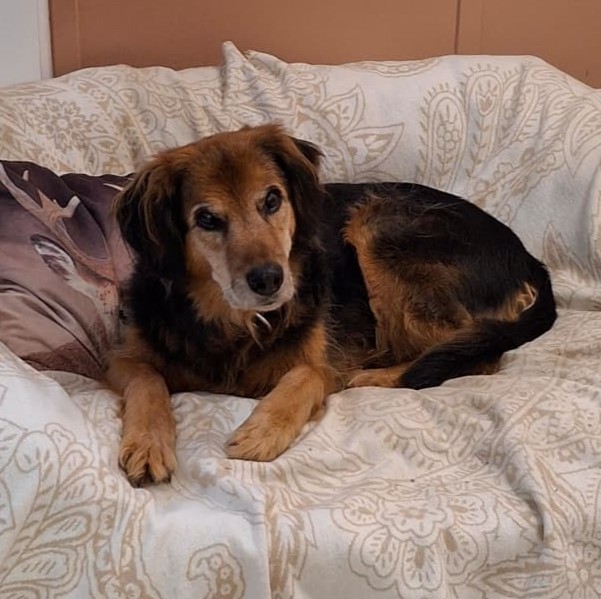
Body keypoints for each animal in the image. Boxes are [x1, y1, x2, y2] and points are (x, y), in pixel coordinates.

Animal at [107, 123, 557, 485]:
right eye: (207, 219)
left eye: (272, 200)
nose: (270, 279)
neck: (235, 321)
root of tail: (528, 258)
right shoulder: (123, 358)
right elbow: (148, 379)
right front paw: (147, 444)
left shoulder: (323, 363)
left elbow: (304, 376)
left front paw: (263, 430)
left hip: (380, 223)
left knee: (478, 352)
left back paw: (378, 375)